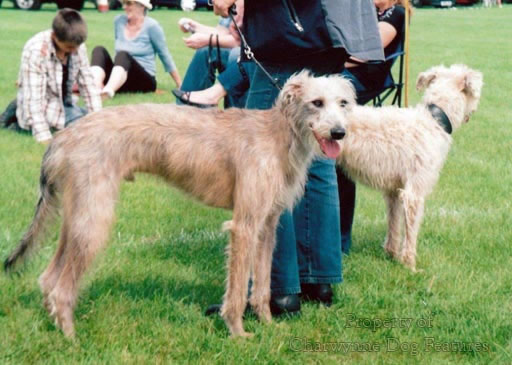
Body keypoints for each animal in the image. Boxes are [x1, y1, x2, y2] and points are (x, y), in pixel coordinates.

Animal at [4, 71, 356, 338]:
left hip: (77, 217)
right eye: (316, 102)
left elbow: (262, 286)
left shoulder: (267, 226)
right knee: (61, 287)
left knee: (48, 278)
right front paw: (238, 333)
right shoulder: (244, 226)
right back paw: (71, 338)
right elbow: (237, 288)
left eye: (344, 103)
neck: (279, 134)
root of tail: (63, 136)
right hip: (94, 221)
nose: (339, 133)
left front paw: (267, 325)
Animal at [338, 63, 482, 270]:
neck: (433, 120)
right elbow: (411, 231)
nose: (475, 108)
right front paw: (410, 266)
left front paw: (391, 254)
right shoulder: (414, 192)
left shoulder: (393, 191)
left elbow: (394, 224)